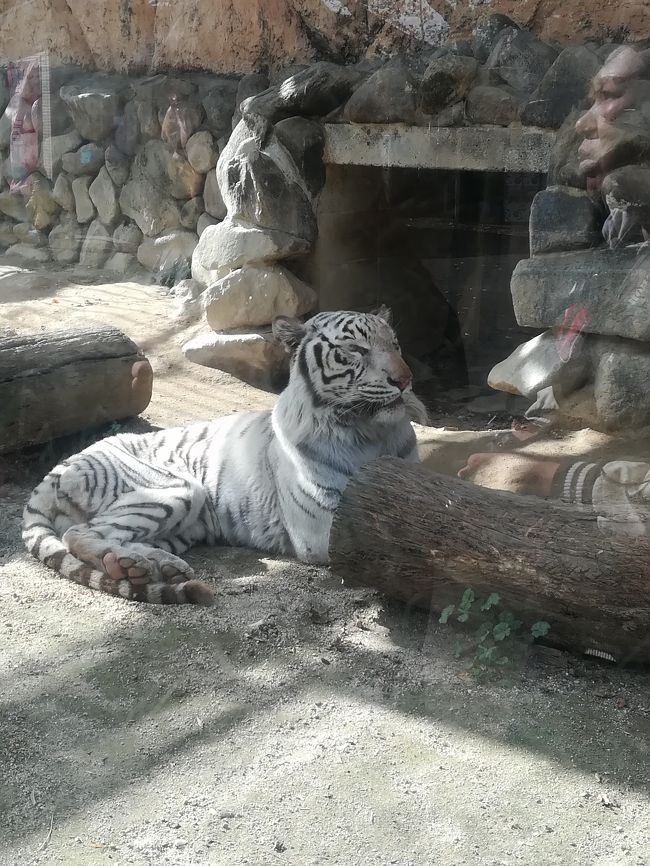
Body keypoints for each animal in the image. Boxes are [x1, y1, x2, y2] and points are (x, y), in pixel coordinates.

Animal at [22, 308, 422, 600]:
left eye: (396, 344)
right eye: (356, 349)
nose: (405, 380)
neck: (372, 433)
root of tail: (57, 469)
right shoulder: (322, 523)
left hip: (184, 526)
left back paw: (151, 566)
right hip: (174, 490)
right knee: (78, 532)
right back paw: (131, 563)